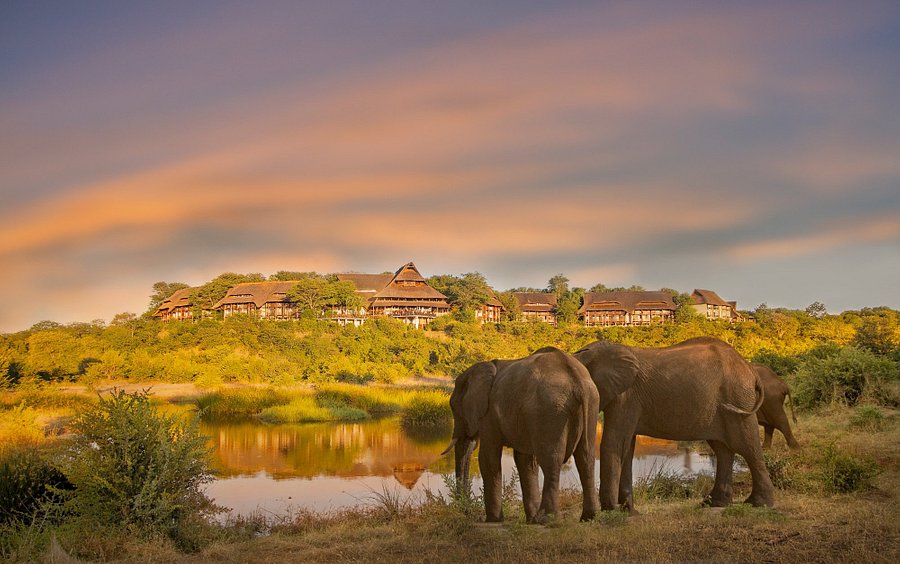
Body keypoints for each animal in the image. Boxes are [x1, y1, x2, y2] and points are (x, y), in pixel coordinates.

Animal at [442, 348, 596, 524]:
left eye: (453, 407)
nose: (465, 510)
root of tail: (577, 380)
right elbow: (525, 461)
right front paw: (530, 520)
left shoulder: (488, 415)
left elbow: (488, 458)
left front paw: (493, 520)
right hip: (591, 404)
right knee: (586, 458)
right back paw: (588, 517)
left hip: (551, 409)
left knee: (551, 460)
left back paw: (547, 519)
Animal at [576, 338, 772, 512]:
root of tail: (750, 369)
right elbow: (626, 446)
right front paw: (629, 512)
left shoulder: (625, 397)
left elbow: (613, 443)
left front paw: (611, 511)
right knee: (723, 450)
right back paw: (714, 503)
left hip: (738, 398)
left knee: (747, 445)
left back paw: (759, 503)